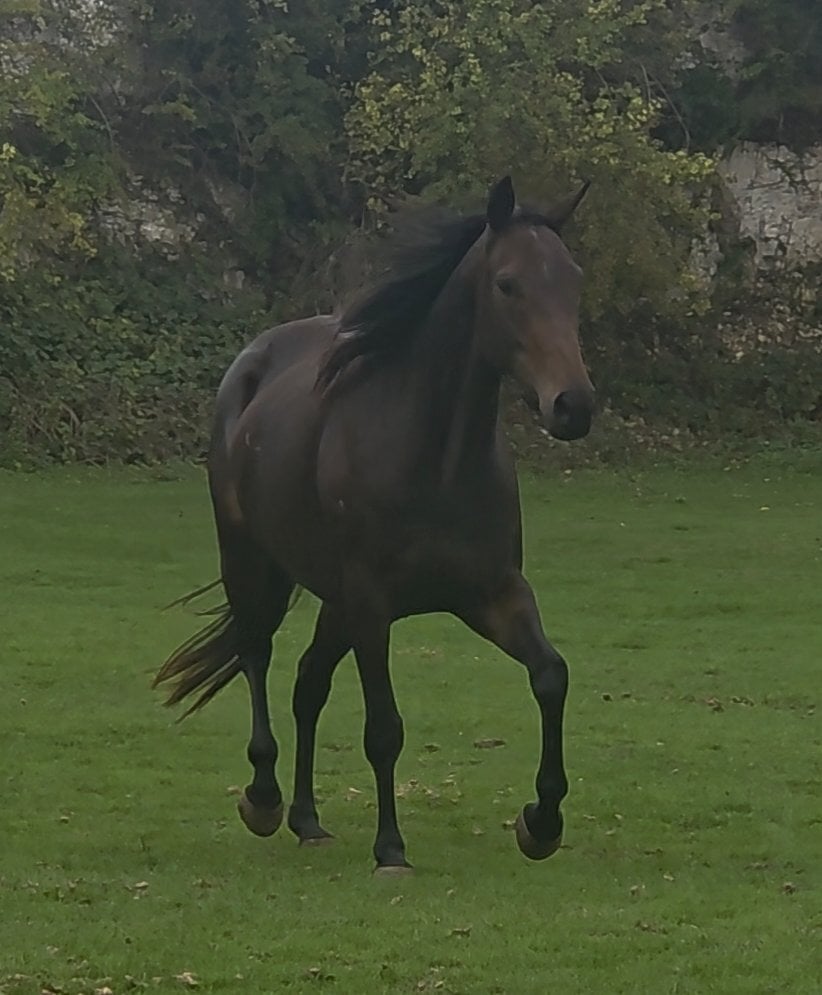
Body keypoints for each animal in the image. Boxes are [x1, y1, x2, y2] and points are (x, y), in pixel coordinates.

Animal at [154, 175, 595, 873]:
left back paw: (307, 819)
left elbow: (551, 676)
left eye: (573, 281)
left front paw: (541, 822)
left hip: (331, 600)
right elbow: (384, 728)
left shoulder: (493, 593)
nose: (573, 405)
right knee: (257, 654)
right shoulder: (371, 605)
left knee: (307, 682)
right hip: (253, 565)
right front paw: (391, 847)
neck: (435, 462)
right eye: (508, 284)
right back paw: (265, 799)